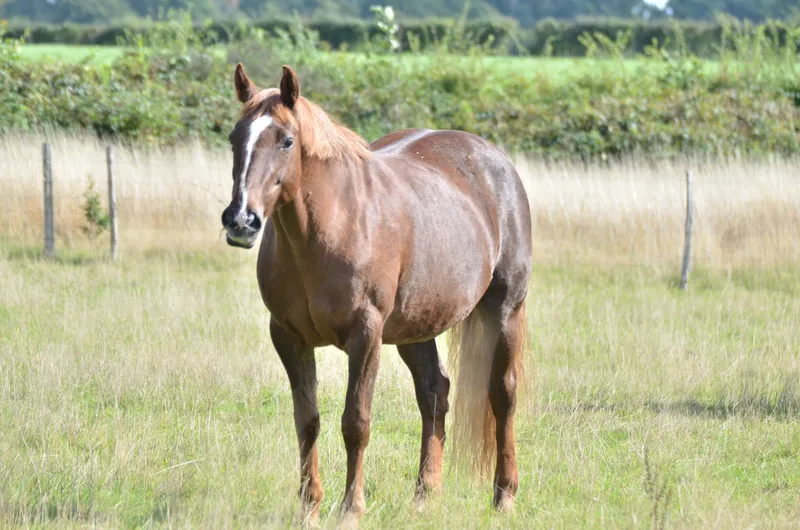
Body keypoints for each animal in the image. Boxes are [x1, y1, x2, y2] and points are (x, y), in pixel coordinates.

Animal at [221, 63, 532, 521]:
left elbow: (356, 422)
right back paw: (424, 495)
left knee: (503, 394)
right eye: (234, 138)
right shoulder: (288, 338)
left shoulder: (365, 335)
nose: (241, 220)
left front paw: (351, 508)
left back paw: (505, 495)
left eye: (286, 141)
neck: (331, 227)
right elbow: (307, 421)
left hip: (504, 312)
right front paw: (309, 509)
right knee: (435, 393)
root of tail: (495, 160)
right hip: (416, 328)